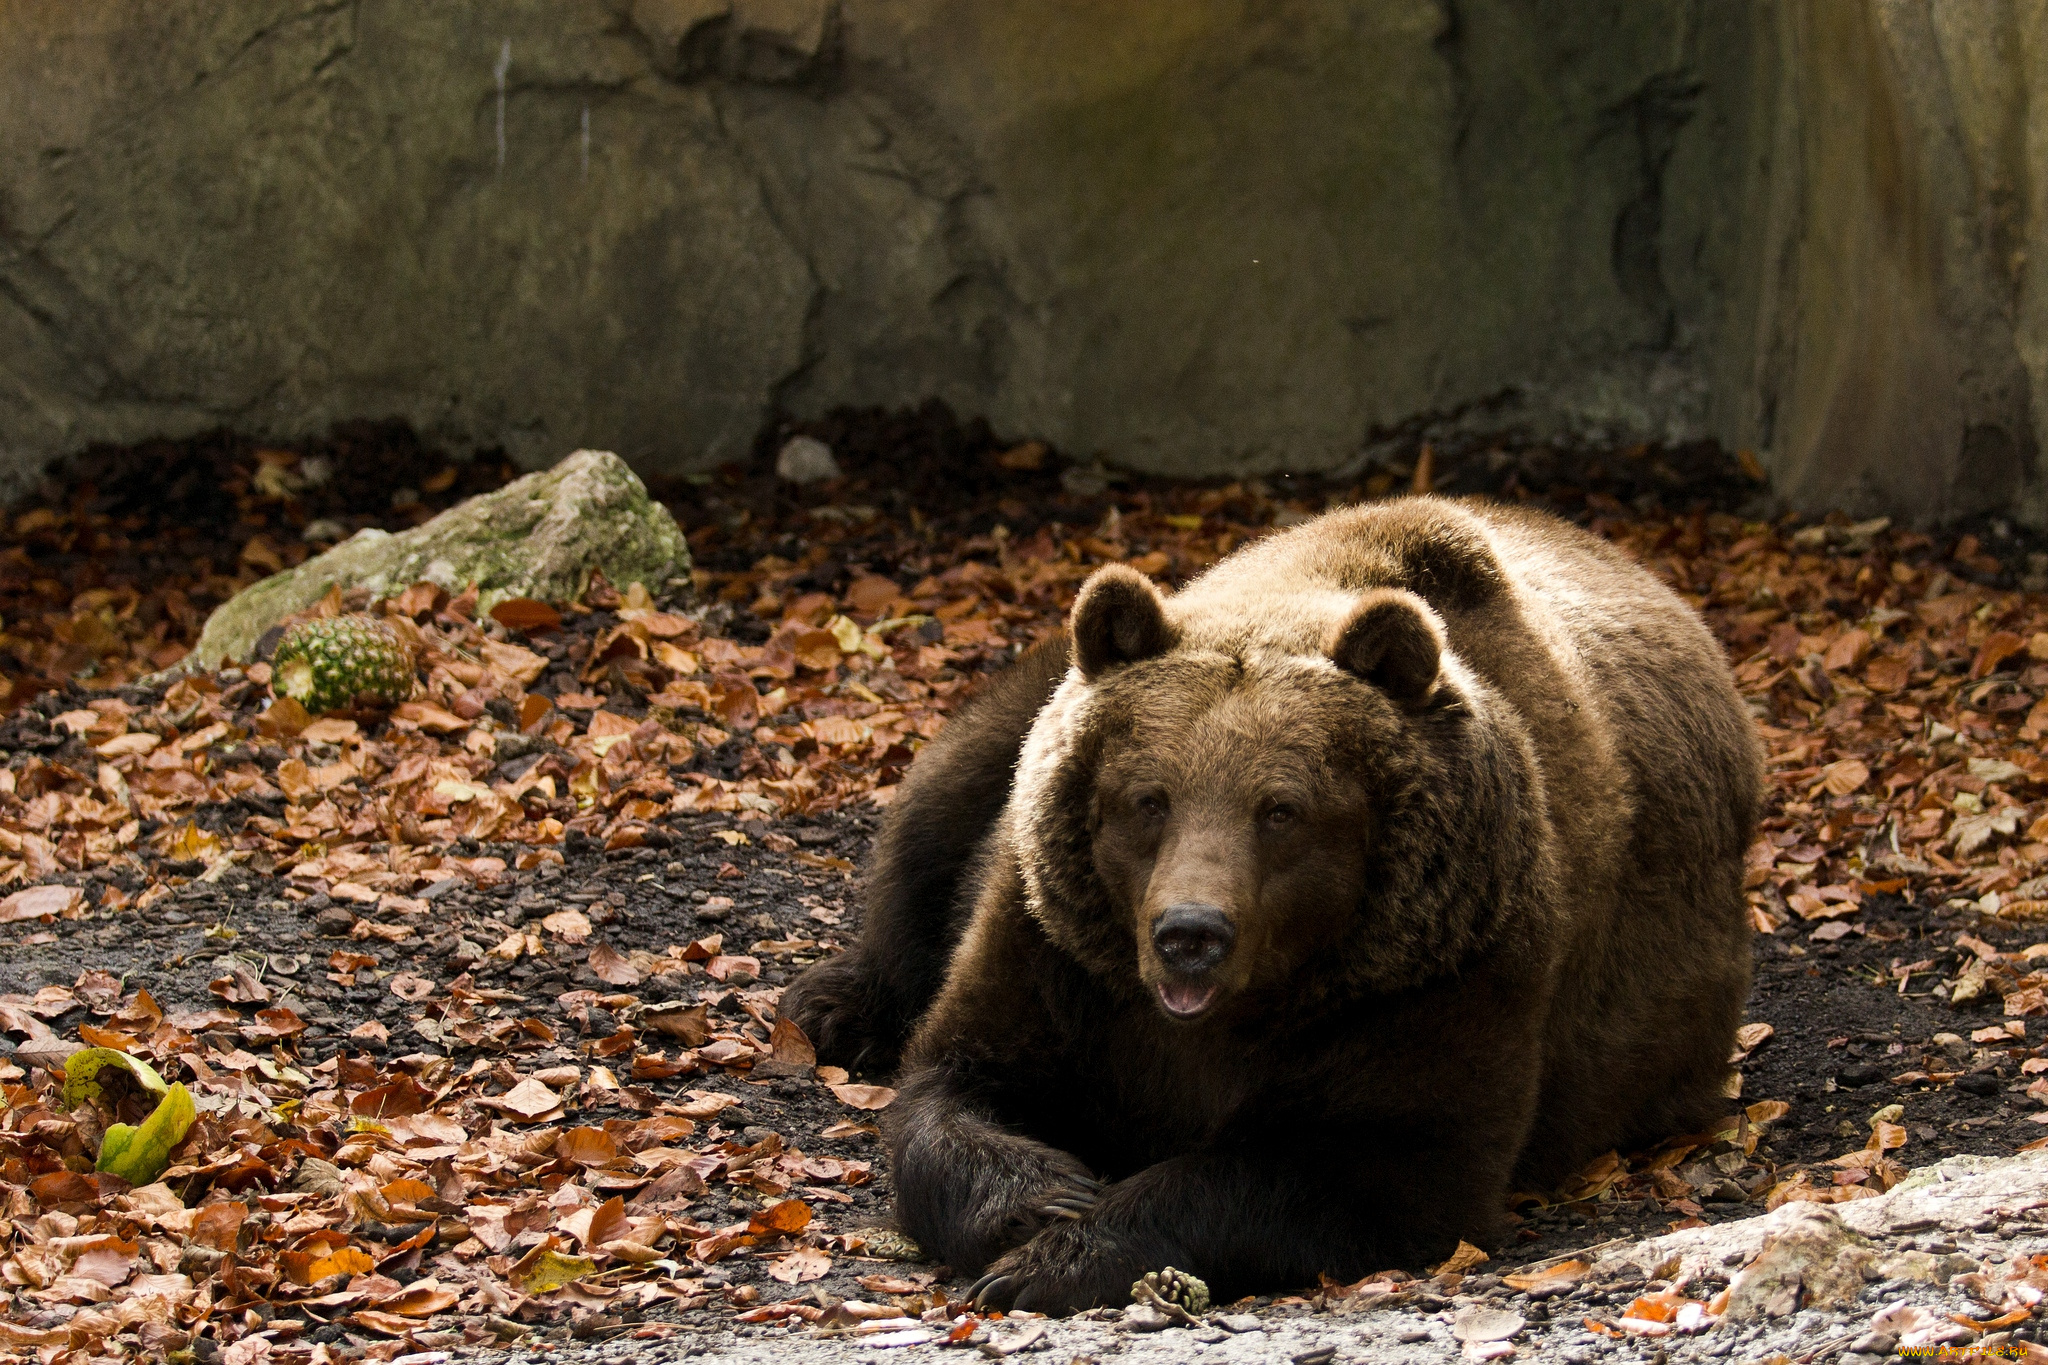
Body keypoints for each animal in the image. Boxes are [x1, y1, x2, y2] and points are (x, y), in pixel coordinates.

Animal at [778, 499, 1761, 1309]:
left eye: (1281, 809)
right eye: (1149, 798)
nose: (1190, 934)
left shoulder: (1442, 974)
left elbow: (1363, 1164)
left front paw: (1060, 1255)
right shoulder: (1061, 950)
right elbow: (957, 1081)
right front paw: (1042, 1200)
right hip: (1020, 722)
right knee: (935, 813)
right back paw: (834, 1005)